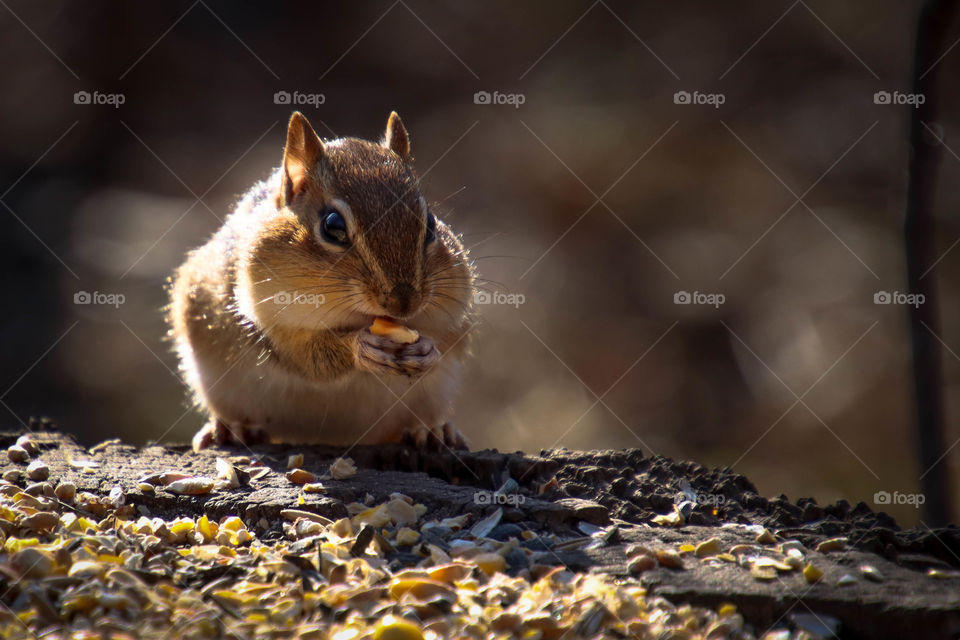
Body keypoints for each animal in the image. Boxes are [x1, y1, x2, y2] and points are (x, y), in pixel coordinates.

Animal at [168, 111, 475, 452]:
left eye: (431, 224)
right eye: (333, 226)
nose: (404, 302)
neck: (357, 318)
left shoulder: (450, 318)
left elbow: (442, 339)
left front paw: (426, 350)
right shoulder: (267, 321)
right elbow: (308, 356)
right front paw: (360, 346)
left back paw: (433, 431)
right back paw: (232, 428)